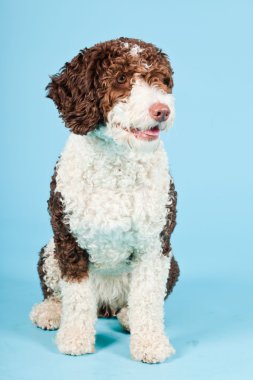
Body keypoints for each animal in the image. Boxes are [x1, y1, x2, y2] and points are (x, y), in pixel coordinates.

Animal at [29, 37, 179, 364]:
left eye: (162, 80)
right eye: (121, 78)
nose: (161, 110)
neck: (117, 164)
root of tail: (107, 304)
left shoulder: (154, 245)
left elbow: (149, 299)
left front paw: (150, 343)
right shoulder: (69, 241)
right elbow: (76, 298)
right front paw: (75, 338)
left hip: (171, 263)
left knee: (139, 302)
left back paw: (128, 316)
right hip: (50, 251)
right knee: (56, 293)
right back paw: (50, 312)